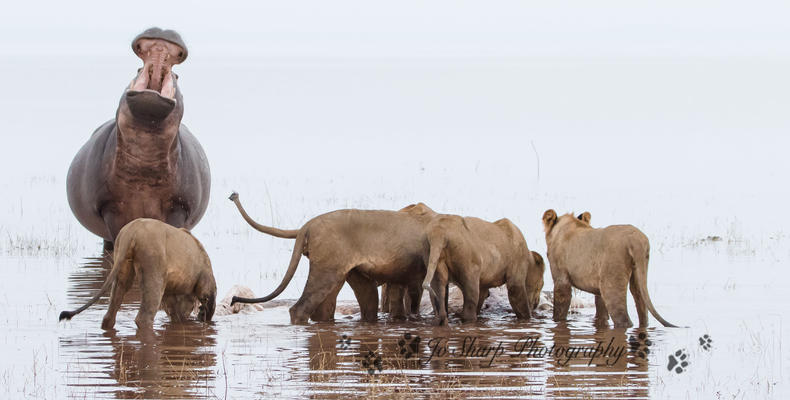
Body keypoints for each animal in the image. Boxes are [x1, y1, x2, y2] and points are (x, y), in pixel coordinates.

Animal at [59, 219, 218, 332]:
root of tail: (131, 231)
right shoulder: (206, 284)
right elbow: (209, 303)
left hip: (122, 267)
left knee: (110, 312)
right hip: (153, 266)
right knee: (143, 317)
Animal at [544, 209, 680, 328]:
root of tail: (636, 240)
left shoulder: (561, 279)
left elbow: (560, 307)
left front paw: (557, 321)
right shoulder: (598, 288)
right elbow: (601, 311)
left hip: (612, 283)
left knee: (623, 319)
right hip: (638, 276)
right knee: (642, 310)